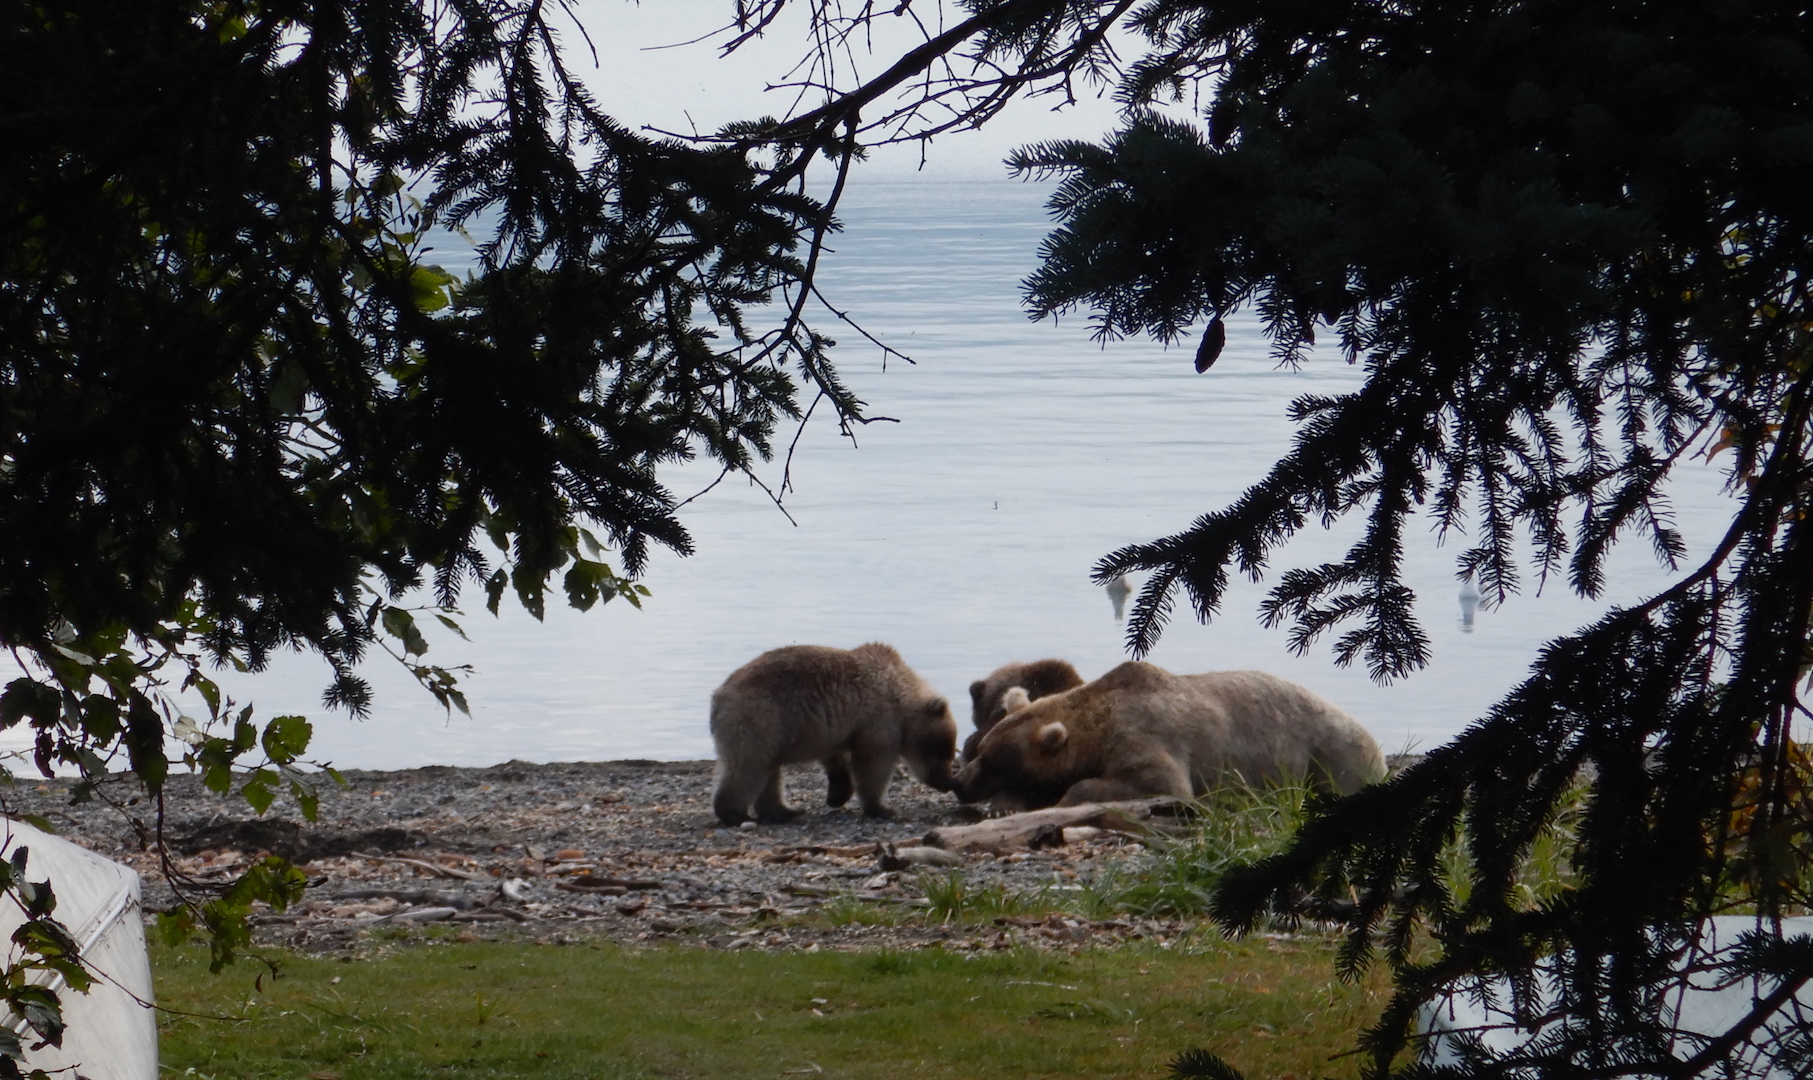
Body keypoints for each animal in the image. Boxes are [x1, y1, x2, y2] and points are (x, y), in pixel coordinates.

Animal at [710, 643, 958, 826]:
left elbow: (834, 757)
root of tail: (718, 696)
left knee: (769, 770)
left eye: (949, 751)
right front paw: (882, 807)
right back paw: (734, 813)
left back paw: (784, 811)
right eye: (941, 750)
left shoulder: (834, 726)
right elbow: (873, 765)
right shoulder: (878, 722)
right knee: (749, 767)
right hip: (760, 719)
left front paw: (838, 794)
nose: (949, 781)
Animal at [950, 661, 1385, 809]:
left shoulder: (1146, 735)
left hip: (1330, 750)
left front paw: (1068, 796)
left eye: (993, 760)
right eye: (982, 751)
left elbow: (1162, 783)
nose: (959, 782)